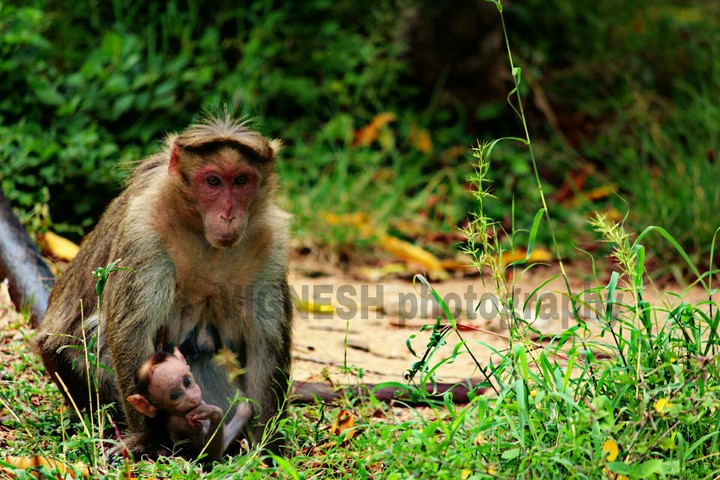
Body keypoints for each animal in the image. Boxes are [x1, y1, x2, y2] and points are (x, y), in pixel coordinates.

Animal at [33, 113, 292, 457]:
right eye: (213, 182)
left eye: (241, 181)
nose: (228, 215)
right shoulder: (143, 228)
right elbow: (131, 332)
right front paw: (145, 438)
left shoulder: (272, 239)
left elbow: (265, 345)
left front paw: (266, 447)